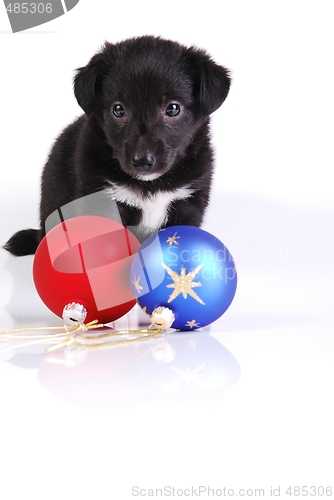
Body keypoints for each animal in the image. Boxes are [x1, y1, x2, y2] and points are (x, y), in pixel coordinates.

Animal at [4, 36, 230, 254]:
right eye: (119, 110)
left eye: (173, 108)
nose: (142, 161)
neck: (150, 185)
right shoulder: (102, 201)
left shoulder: (189, 203)